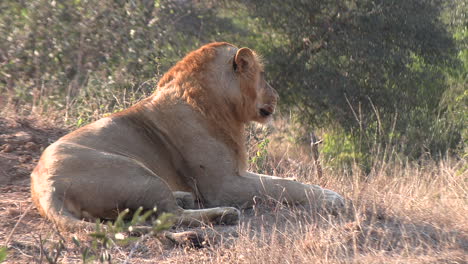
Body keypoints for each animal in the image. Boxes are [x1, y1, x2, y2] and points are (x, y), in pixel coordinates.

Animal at [30, 41, 344, 233]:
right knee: (168, 215)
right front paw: (333, 198)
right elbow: (282, 187)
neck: (219, 106)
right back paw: (223, 214)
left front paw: (327, 193)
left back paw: (184, 197)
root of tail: (45, 189)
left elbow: (283, 180)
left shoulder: (237, 172)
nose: (276, 97)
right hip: (137, 173)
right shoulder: (224, 185)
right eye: (263, 75)